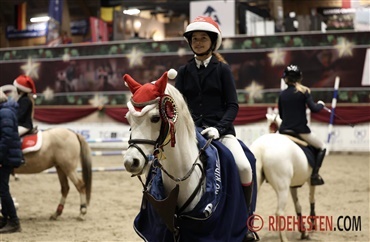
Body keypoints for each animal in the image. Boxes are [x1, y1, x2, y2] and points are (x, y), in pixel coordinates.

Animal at [250, 108, 320, 242]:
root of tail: (261, 148)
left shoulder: (293, 186)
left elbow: (298, 206)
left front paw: (303, 231)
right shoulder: (310, 180)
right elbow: (311, 198)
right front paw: (312, 224)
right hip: (282, 187)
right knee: (279, 212)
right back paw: (284, 239)